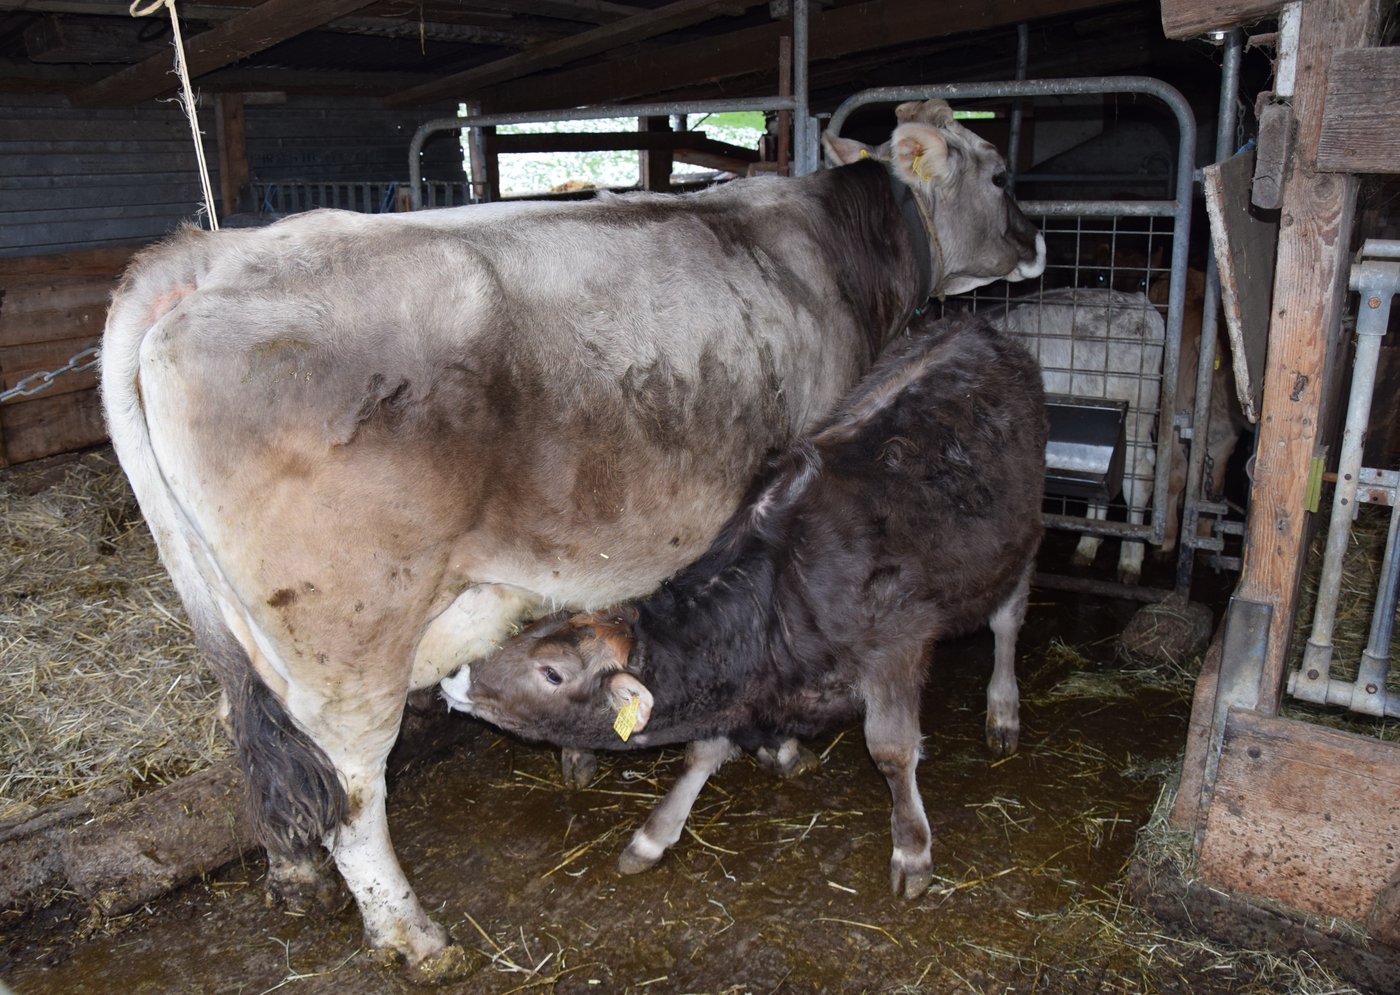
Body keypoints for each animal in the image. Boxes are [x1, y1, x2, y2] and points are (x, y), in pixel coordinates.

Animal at [440, 313, 1047, 899]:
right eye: (520, 636)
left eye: (551, 673)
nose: (453, 679)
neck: (781, 595)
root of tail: (971, 325)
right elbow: (703, 752)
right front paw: (654, 835)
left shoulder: (898, 648)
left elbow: (893, 751)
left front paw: (912, 850)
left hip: (1021, 536)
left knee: (1006, 621)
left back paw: (1003, 711)